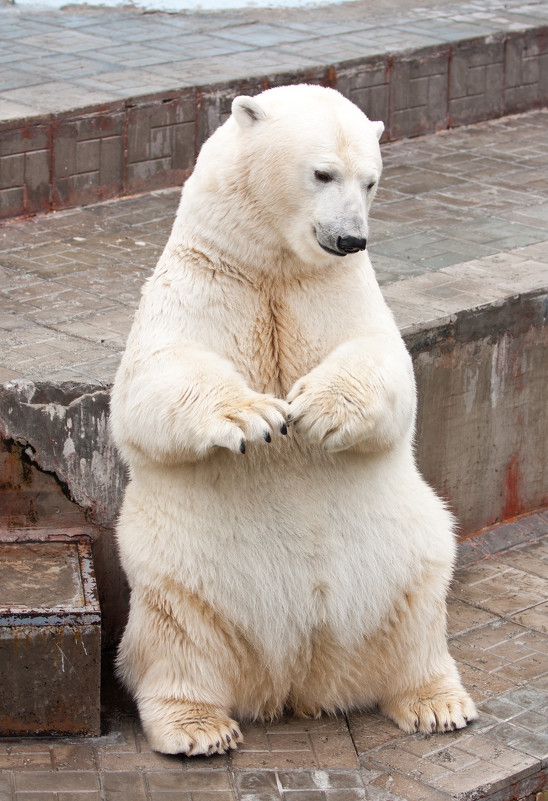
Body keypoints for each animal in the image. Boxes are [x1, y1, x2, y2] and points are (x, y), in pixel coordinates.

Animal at [110, 84, 476, 752]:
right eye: (322, 173)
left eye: (372, 180)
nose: (352, 238)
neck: (274, 266)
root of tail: (300, 677)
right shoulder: (209, 279)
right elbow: (153, 379)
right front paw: (257, 415)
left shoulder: (333, 286)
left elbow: (387, 365)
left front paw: (316, 411)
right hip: (178, 578)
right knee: (179, 644)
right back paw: (198, 727)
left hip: (409, 555)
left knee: (419, 617)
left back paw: (437, 704)